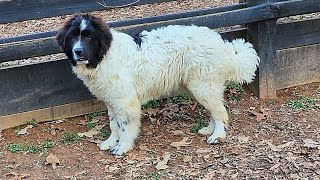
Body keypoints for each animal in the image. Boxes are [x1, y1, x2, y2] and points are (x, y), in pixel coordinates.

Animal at [56, 14, 258, 155]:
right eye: (73, 37)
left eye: (89, 37)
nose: (78, 51)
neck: (104, 55)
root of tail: (221, 42)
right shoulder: (112, 100)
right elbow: (114, 125)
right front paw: (111, 142)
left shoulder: (125, 101)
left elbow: (124, 126)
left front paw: (122, 147)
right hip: (200, 87)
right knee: (215, 110)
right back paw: (209, 129)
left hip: (203, 86)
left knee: (220, 112)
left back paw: (218, 135)